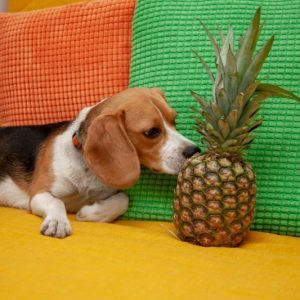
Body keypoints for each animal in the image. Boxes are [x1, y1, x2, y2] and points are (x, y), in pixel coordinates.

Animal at [0, 88, 199, 238]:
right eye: (152, 132)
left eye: (174, 120)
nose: (194, 150)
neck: (87, 169)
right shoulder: (39, 192)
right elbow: (56, 203)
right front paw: (58, 221)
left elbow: (124, 199)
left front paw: (90, 213)